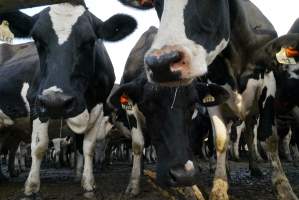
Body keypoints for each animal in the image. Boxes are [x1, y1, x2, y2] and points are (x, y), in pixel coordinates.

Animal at [0, 1, 137, 198]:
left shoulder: (97, 108)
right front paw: (31, 186)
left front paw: (87, 182)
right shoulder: (38, 104)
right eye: (37, 40)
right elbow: (39, 146)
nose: (56, 102)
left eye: (90, 41)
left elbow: (87, 147)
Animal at [110, 26, 230, 195]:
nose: (183, 175)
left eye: (193, 105)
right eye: (149, 103)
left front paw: (189, 188)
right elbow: (138, 145)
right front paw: (133, 185)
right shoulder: (131, 110)